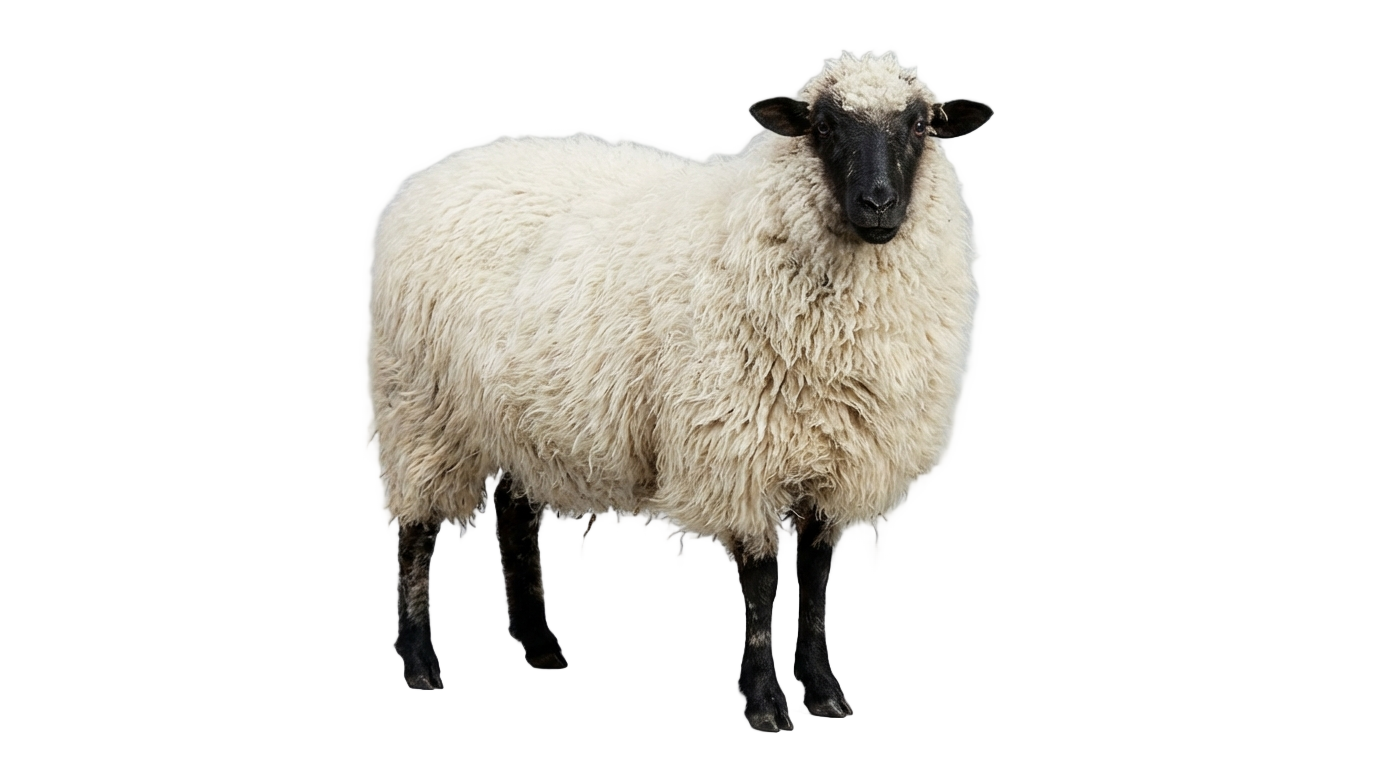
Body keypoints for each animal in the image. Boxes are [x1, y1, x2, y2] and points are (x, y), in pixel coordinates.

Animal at [373, 53, 990, 731]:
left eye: (920, 127)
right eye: (824, 126)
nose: (878, 203)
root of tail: (437, 176)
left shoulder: (840, 457)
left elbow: (816, 574)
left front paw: (823, 694)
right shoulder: (737, 448)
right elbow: (760, 582)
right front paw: (764, 709)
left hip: (522, 413)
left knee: (513, 516)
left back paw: (542, 653)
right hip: (424, 406)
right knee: (415, 529)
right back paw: (420, 670)